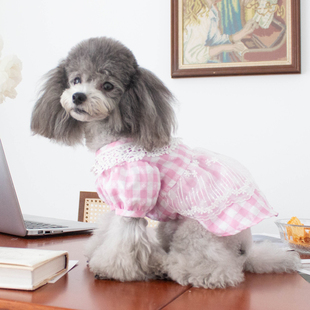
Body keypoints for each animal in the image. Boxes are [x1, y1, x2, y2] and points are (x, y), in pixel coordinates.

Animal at [31, 38, 300, 288]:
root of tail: (247, 251)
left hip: (195, 232)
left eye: (107, 86)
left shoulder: (133, 198)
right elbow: (107, 228)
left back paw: (169, 268)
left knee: (216, 269)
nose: (78, 96)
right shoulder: (117, 203)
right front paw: (95, 250)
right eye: (75, 80)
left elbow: (122, 240)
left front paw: (110, 269)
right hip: (168, 227)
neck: (114, 137)